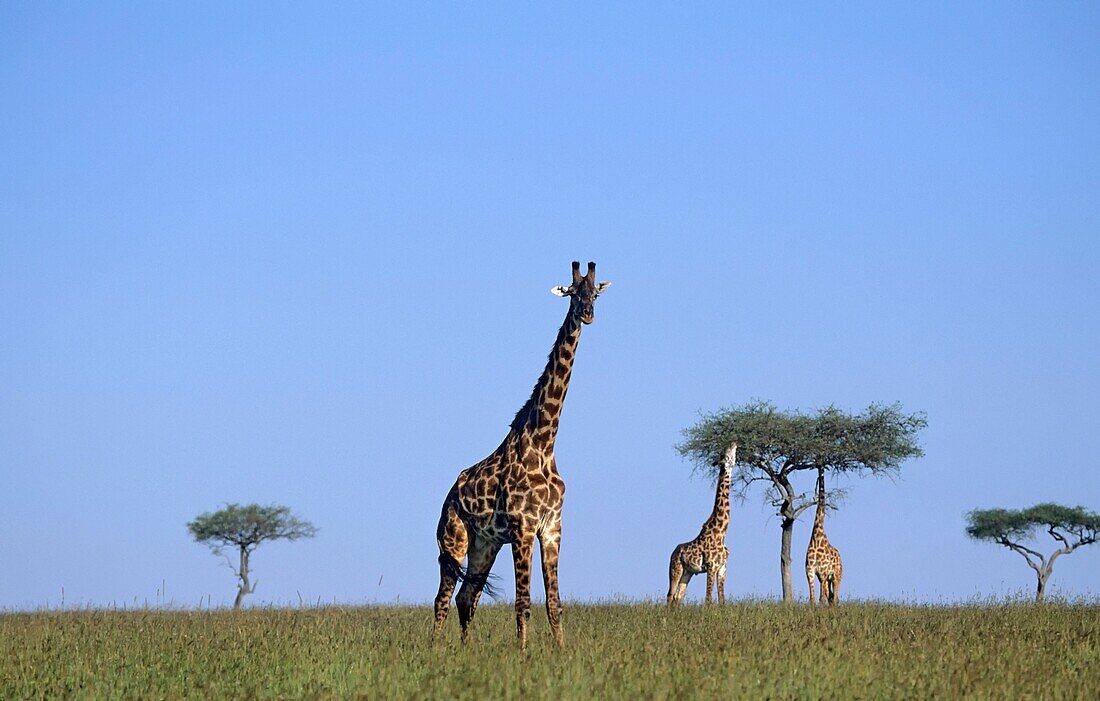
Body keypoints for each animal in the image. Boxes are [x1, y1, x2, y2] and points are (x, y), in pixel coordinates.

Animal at [433, 259, 616, 647]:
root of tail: (447, 498)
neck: (544, 442)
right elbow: (523, 602)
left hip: (484, 544)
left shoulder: (553, 527)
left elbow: (554, 603)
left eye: (594, 294)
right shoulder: (523, 527)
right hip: (453, 539)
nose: (588, 315)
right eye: (572, 293)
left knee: (466, 596)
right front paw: (523, 653)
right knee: (442, 598)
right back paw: (435, 649)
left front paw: (560, 651)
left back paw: (464, 650)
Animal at [664, 442, 734, 603]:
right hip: (675, 568)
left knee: (678, 596)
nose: (733, 443)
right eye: (725, 455)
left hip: (688, 572)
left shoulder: (723, 567)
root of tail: (673, 552)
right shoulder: (711, 566)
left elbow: (722, 599)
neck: (721, 532)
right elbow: (708, 598)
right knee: (670, 595)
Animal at [805, 464, 844, 607]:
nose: (820, 467)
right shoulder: (810, 571)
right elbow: (812, 598)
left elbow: (821, 599)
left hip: (837, 575)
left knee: (835, 597)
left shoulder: (823, 572)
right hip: (829, 578)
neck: (817, 537)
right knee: (831, 597)